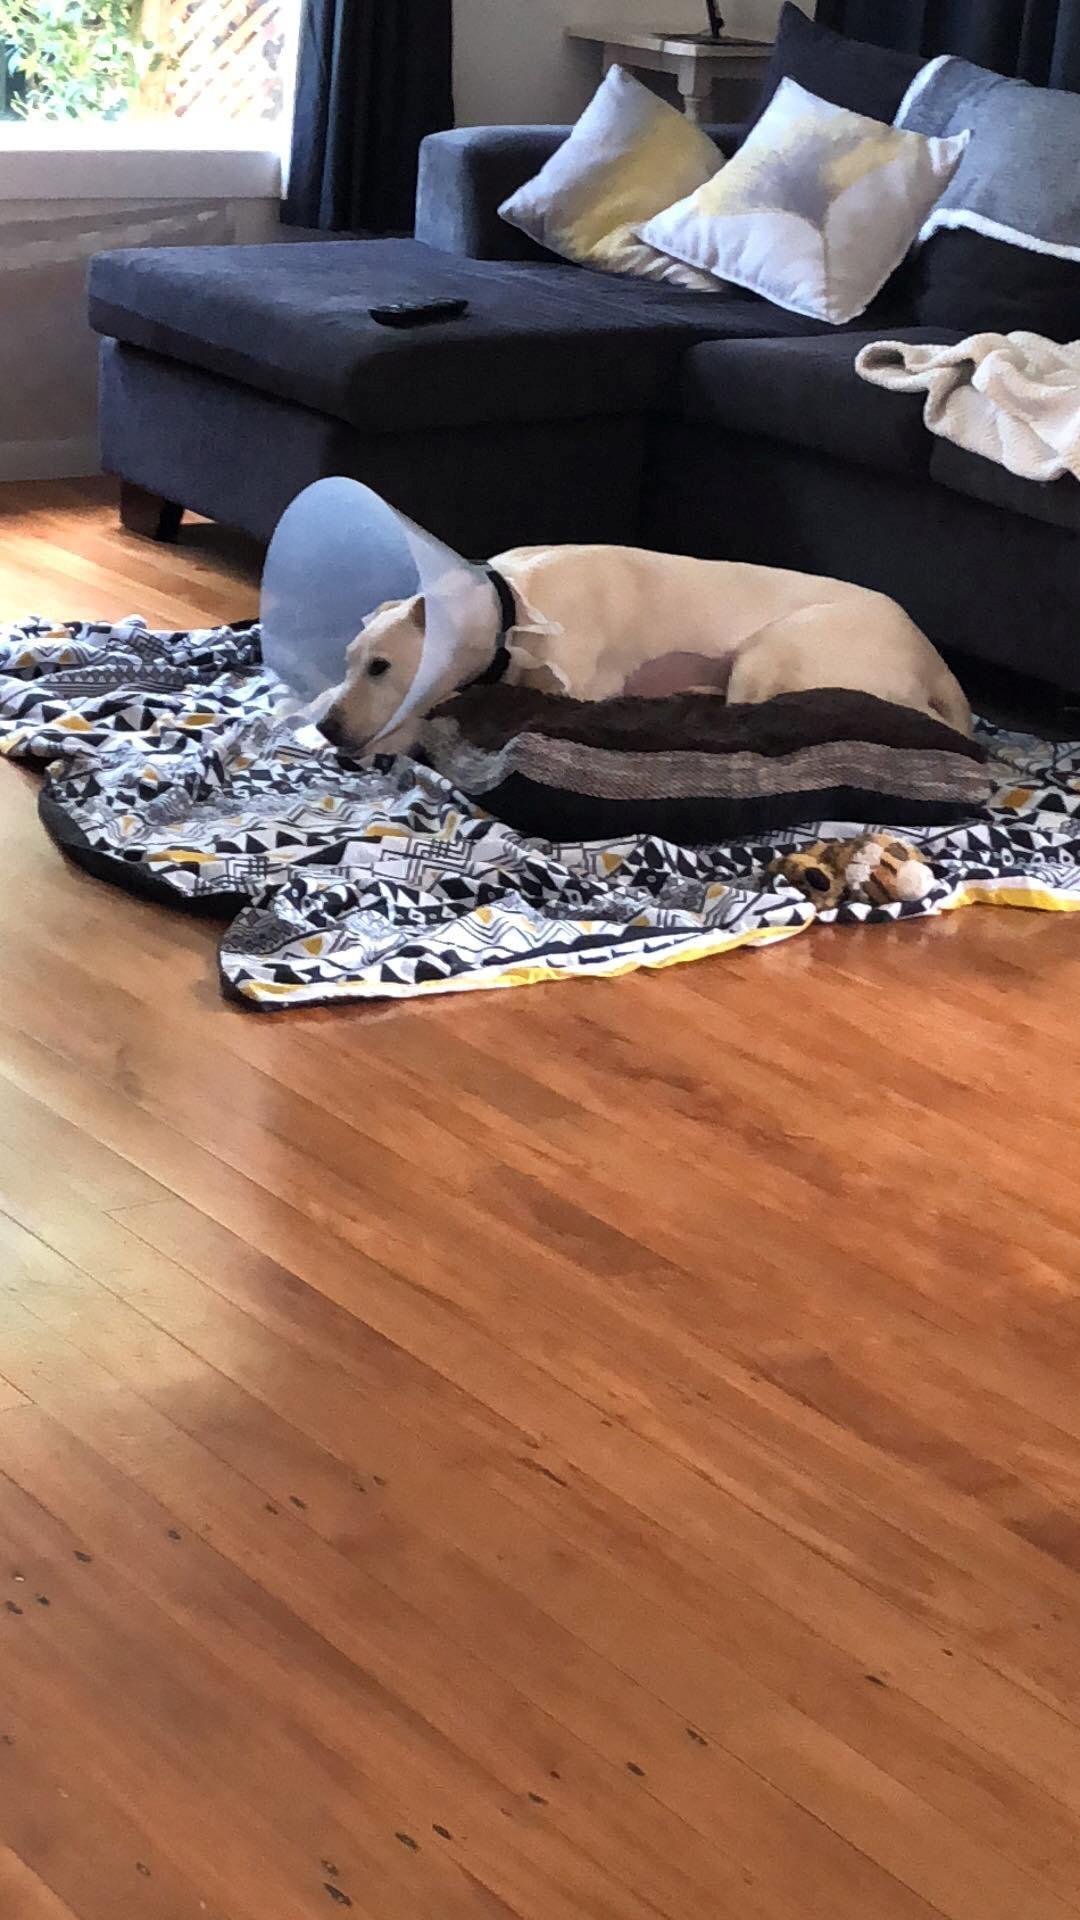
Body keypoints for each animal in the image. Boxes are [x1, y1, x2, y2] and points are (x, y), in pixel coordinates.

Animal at [319, 543, 972, 758]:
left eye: (381, 667)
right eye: (348, 662)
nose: (326, 728)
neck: (510, 609)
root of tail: (934, 661)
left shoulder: (579, 688)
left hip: (773, 648)